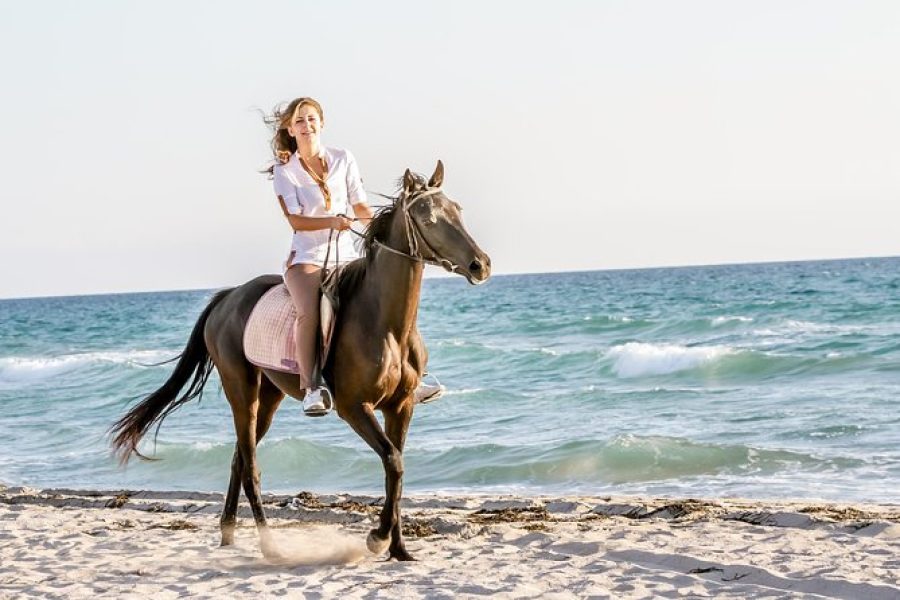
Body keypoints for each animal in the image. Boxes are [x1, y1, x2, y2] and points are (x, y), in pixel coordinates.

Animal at [114, 162, 492, 560]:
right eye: (428, 218)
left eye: (457, 210)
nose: (480, 265)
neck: (385, 323)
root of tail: (227, 298)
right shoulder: (354, 407)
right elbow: (394, 461)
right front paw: (378, 538)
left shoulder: (401, 406)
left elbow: (397, 470)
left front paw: (400, 550)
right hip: (242, 392)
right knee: (250, 466)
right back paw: (270, 547)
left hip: (269, 397)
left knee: (239, 458)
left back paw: (228, 533)